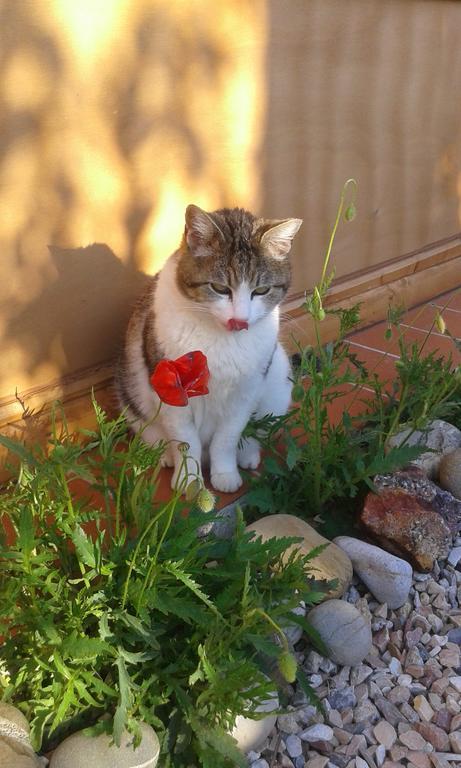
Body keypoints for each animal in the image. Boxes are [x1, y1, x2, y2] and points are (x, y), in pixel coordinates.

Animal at [115, 204, 302, 492]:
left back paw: (247, 454)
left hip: (279, 383)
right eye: (219, 288)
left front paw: (225, 474)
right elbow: (185, 442)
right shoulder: (172, 393)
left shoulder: (245, 393)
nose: (240, 319)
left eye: (261, 290)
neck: (220, 341)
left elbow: (226, 438)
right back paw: (164, 455)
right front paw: (189, 481)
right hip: (130, 395)